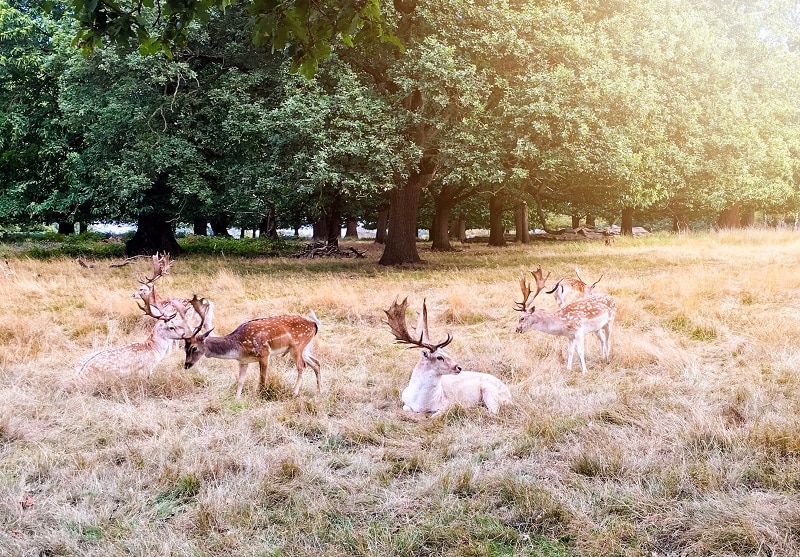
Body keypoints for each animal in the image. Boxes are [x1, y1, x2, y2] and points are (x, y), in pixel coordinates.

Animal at [180, 298, 320, 398]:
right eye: (184, 348)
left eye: (193, 348)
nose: (186, 365)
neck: (238, 346)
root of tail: (314, 324)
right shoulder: (243, 361)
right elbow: (240, 381)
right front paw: (237, 399)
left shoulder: (264, 353)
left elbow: (262, 379)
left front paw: (260, 396)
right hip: (303, 348)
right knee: (316, 363)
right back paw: (319, 391)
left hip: (297, 346)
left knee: (302, 366)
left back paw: (294, 393)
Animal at [382, 298, 510, 414]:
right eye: (440, 357)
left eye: (447, 353)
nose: (458, 367)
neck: (422, 404)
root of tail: (509, 396)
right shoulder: (405, 402)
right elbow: (406, 408)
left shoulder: (448, 403)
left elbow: (436, 414)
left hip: (490, 393)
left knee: (493, 412)